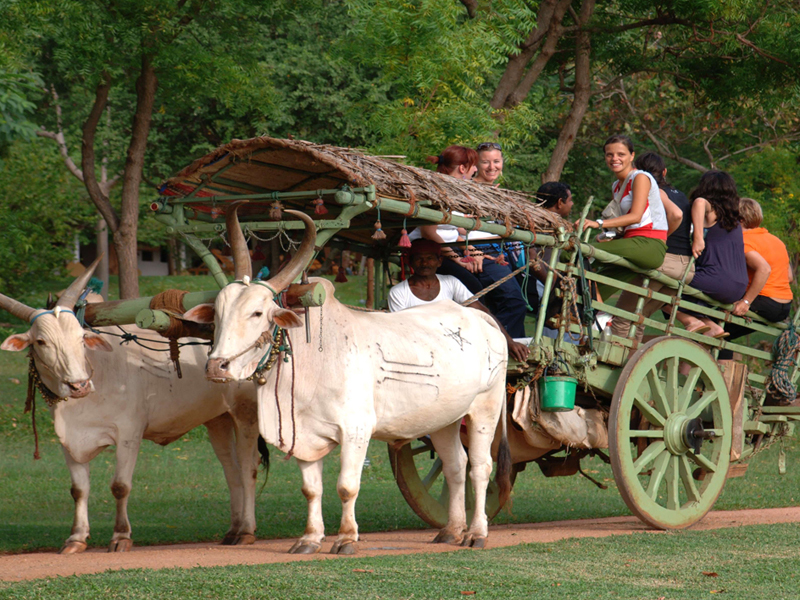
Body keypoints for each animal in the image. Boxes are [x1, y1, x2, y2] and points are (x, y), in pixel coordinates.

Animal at [0, 260, 263, 553]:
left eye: (81, 337)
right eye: (41, 342)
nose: (79, 385)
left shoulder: (129, 434)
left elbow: (120, 486)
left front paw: (121, 536)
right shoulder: (68, 441)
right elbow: (78, 489)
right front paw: (76, 538)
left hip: (246, 415)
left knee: (248, 468)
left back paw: (246, 530)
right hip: (218, 419)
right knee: (231, 470)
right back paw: (233, 529)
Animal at [184, 202, 512, 554]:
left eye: (257, 313)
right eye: (217, 313)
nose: (216, 367)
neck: (313, 360)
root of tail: (480, 317)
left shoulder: (356, 430)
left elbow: (346, 486)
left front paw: (346, 538)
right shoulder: (303, 434)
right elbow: (311, 489)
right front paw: (309, 538)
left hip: (485, 408)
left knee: (480, 467)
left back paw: (477, 532)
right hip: (443, 419)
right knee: (455, 466)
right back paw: (451, 530)